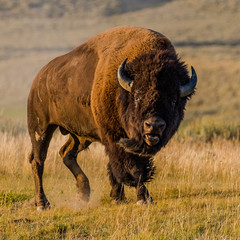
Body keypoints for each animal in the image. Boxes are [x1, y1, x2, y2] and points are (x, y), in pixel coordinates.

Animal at [28, 25, 197, 210]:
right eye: (137, 96)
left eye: (173, 100)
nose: (154, 125)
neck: (122, 90)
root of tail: (38, 78)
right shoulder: (115, 138)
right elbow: (131, 168)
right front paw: (141, 198)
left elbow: (122, 168)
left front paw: (120, 197)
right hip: (40, 128)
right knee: (38, 161)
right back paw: (42, 203)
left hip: (80, 136)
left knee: (66, 153)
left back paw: (83, 193)